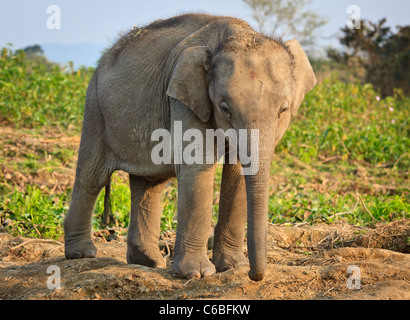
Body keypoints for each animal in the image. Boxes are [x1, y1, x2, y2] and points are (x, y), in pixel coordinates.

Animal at [64, 13, 316, 282]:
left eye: (283, 109)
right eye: (225, 108)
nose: (254, 275)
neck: (235, 34)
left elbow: (237, 172)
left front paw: (233, 266)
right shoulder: (184, 99)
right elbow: (197, 164)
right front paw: (198, 274)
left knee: (149, 184)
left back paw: (148, 262)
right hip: (95, 108)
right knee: (92, 178)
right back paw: (82, 254)